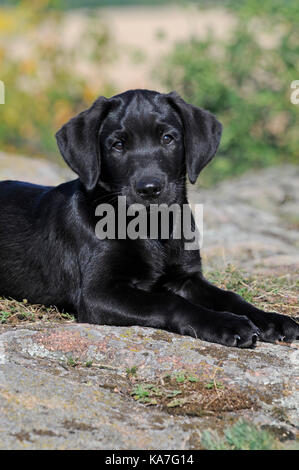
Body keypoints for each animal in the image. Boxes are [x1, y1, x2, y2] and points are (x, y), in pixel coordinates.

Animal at [0, 88, 299, 346]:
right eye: (118, 145)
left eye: (167, 138)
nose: (149, 189)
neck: (150, 226)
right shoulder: (98, 293)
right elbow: (168, 301)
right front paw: (228, 323)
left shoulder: (186, 278)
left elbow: (230, 296)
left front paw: (271, 320)